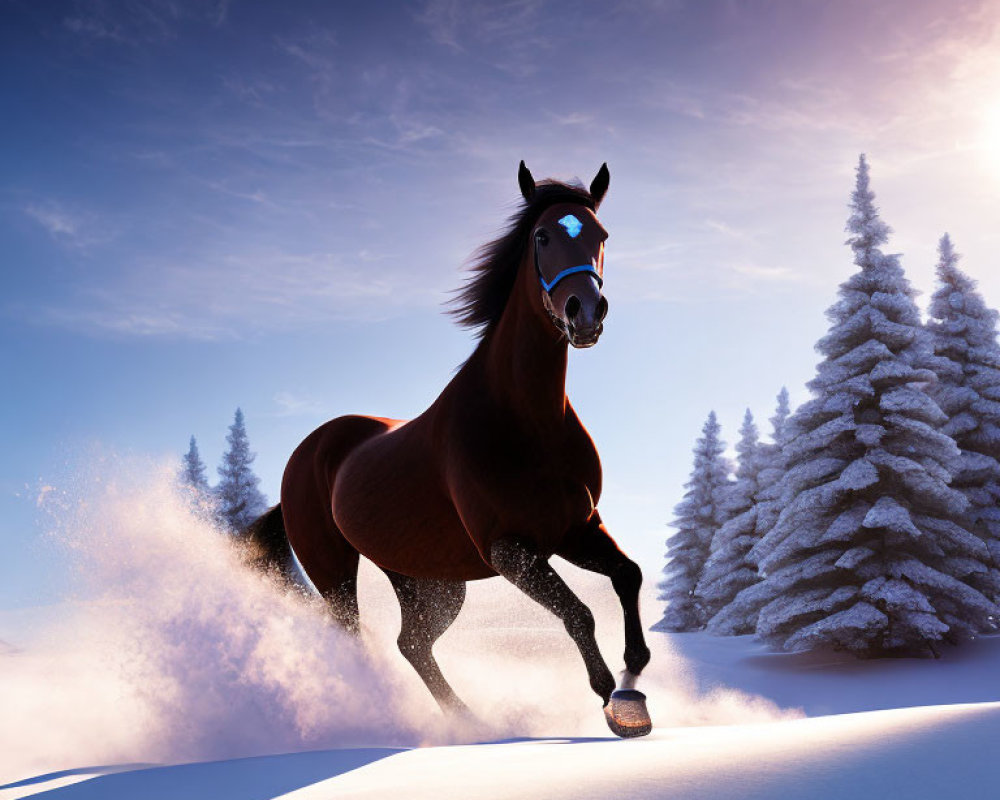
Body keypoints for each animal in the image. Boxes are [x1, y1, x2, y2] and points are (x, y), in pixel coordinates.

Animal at [249, 162, 652, 736]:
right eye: (542, 236)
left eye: (602, 236)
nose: (586, 313)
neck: (526, 422)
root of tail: (304, 458)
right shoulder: (510, 549)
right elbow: (579, 613)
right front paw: (614, 705)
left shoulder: (573, 530)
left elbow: (628, 575)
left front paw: (633, 686)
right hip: (335, 575)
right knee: (357, 641)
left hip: (429, 581)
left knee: (412, 643)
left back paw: (469, 722)